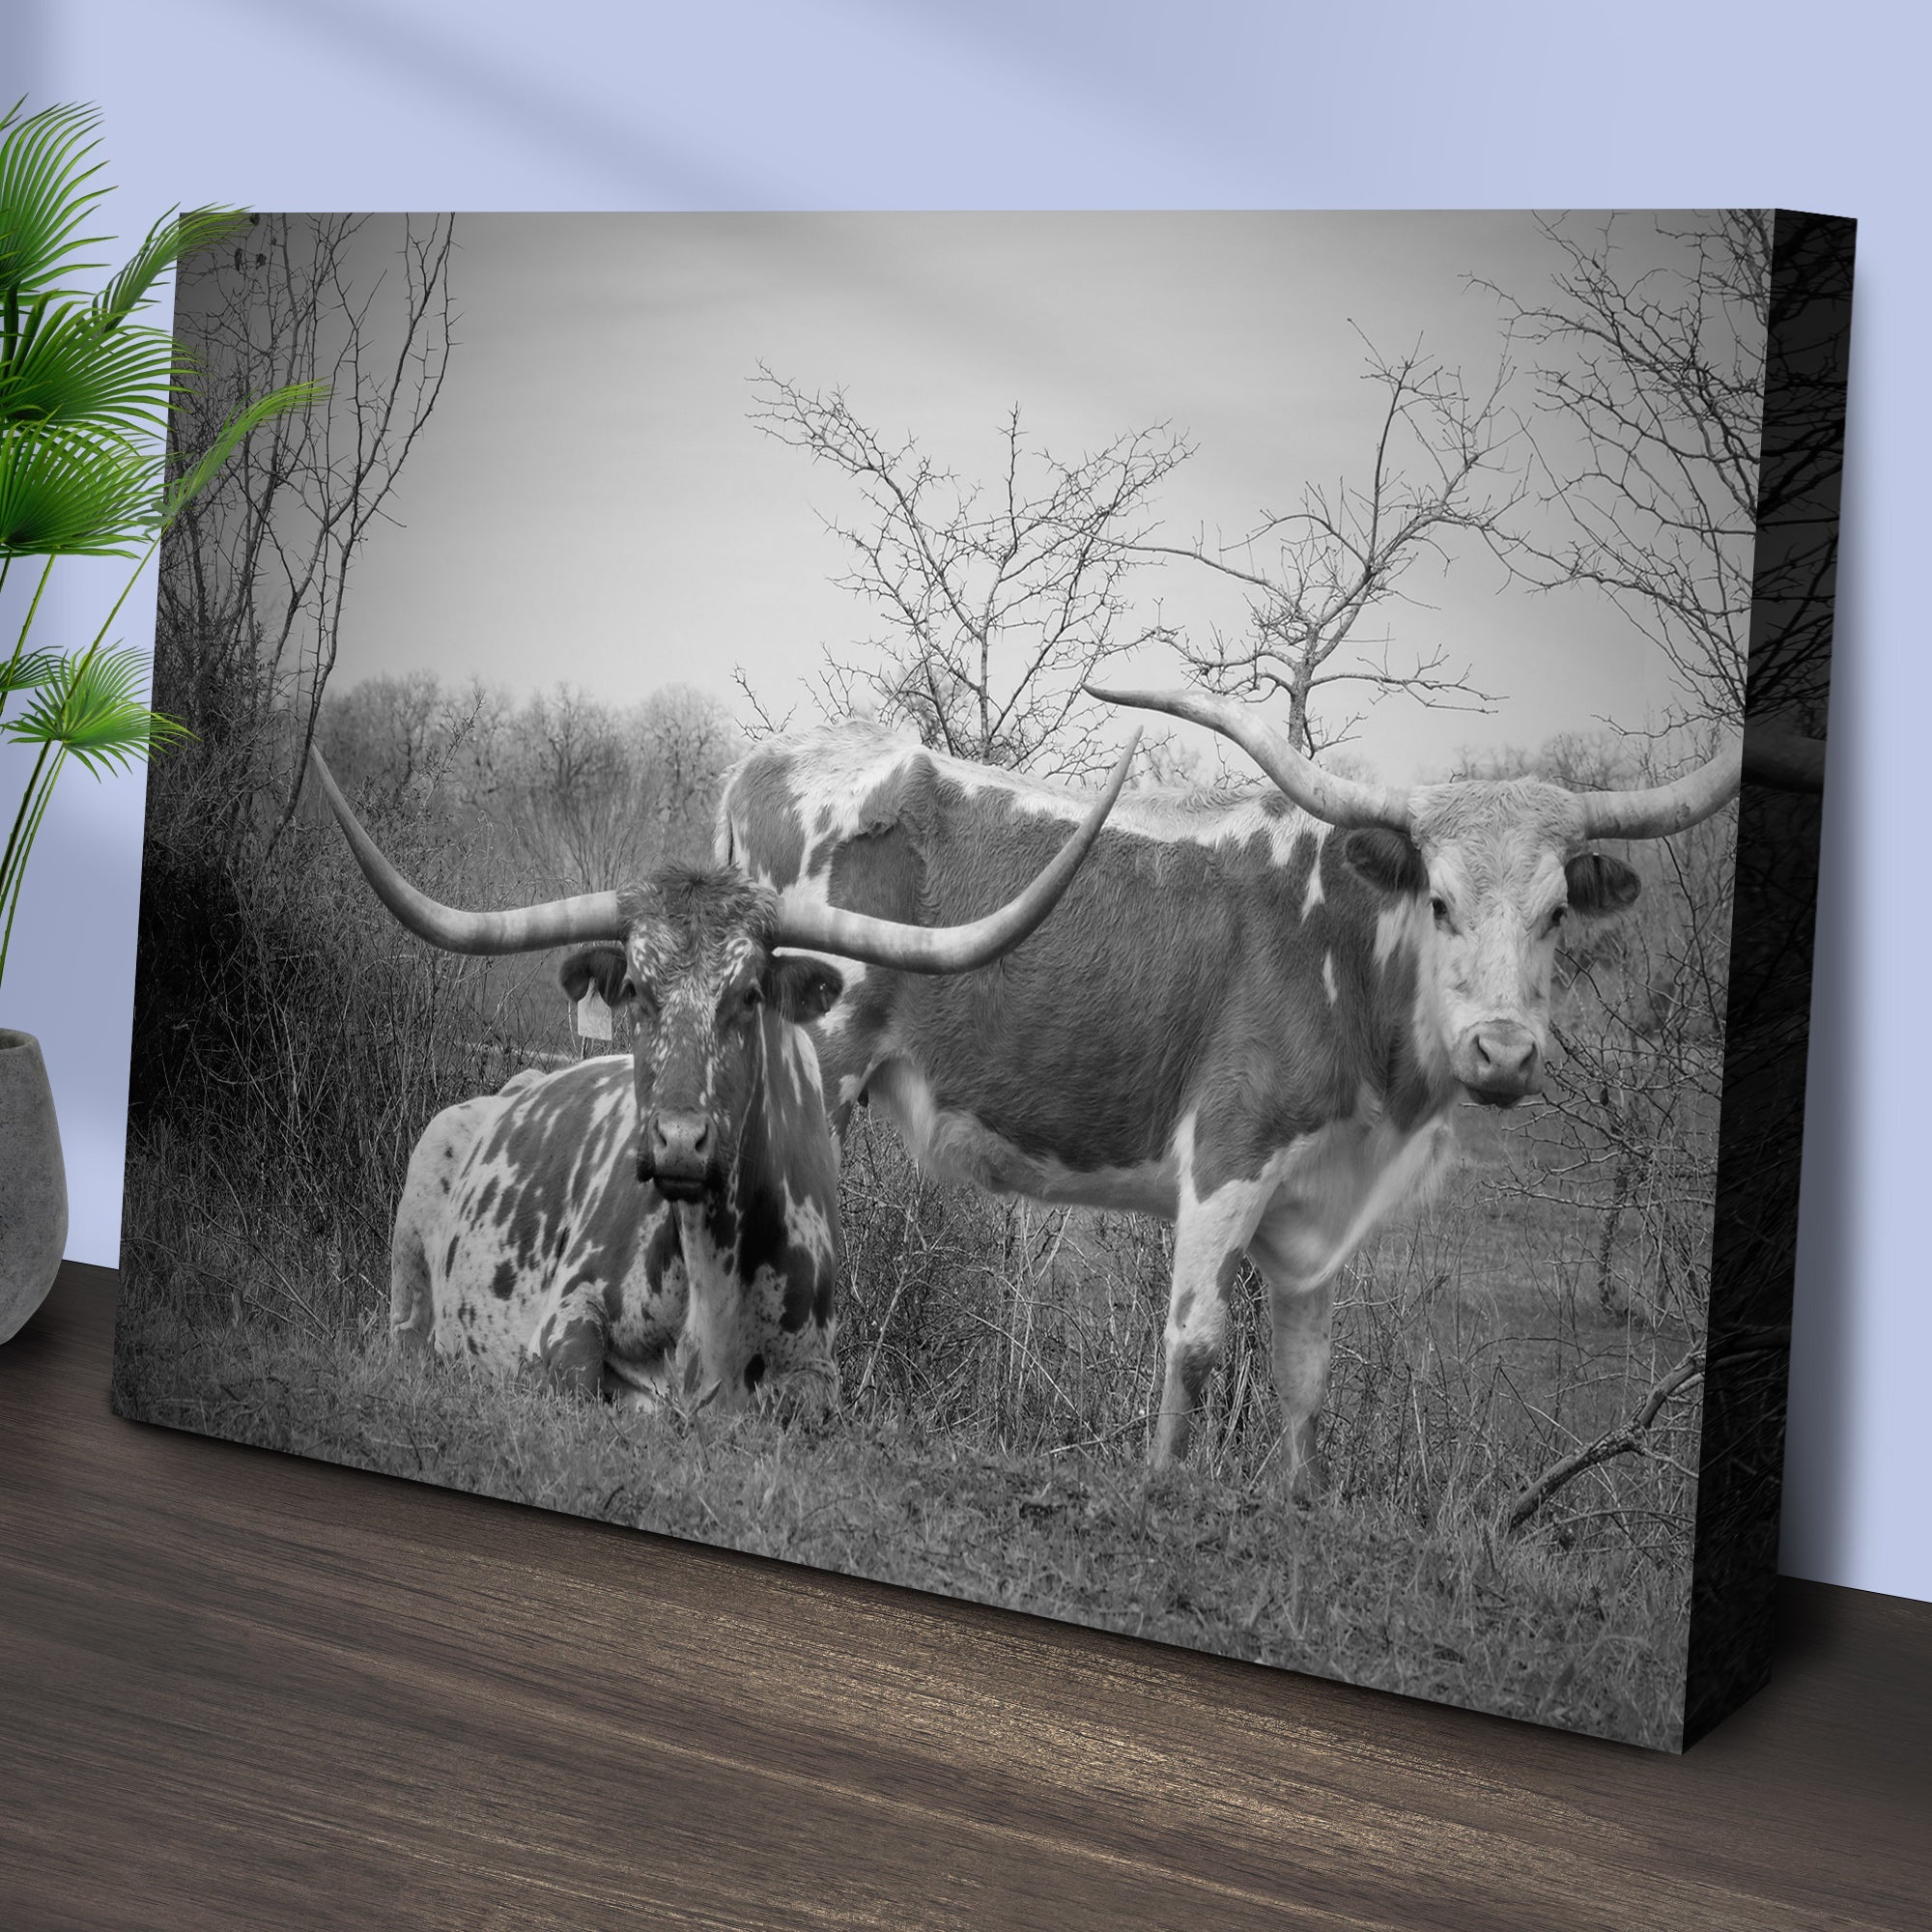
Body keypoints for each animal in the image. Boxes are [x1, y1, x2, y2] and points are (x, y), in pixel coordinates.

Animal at [306, 737, 1133, 1411]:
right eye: (637, 991)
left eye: (748, 996)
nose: (677, 1143)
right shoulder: (561, 1324)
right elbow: (575, 1380)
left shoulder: (816, 1377)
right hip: (411, 1266)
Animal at [718, 686, 1741, 1484]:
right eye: (1441, 902)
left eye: (1557, 912)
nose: (1502, 1053)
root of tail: (767, 759)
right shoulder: (1228, 1158)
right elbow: (1198, 1342)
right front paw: (1161, 1489)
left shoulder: (1318, 1206)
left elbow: (1305, 1376)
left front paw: (1296, 1505)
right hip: (814, 1063)